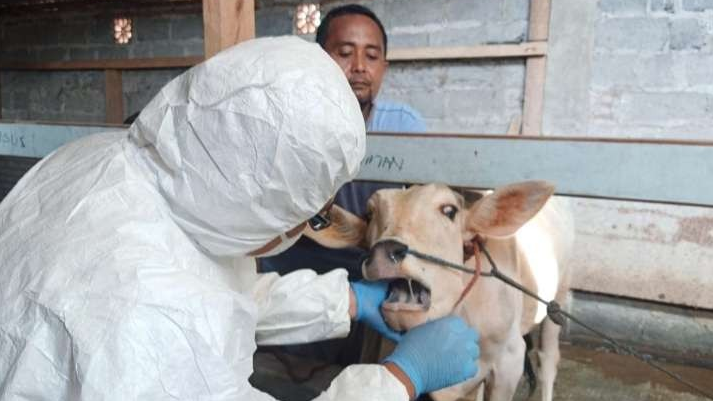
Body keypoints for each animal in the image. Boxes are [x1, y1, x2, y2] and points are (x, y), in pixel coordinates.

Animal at [306, 180, 572, 400]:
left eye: (449, 211)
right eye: (370, 214)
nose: (384, 250)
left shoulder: (510, 360)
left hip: (559, 295)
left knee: (548, 360)